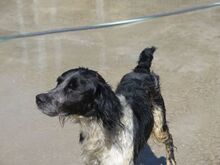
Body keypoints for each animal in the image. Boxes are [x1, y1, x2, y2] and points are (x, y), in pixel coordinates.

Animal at [37, 47, 176, 164]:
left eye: (73, 88)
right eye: (58, 82)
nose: (38, 98)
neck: (98, 125)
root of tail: (141, 69)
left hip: (159, 127)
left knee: (169, 140)